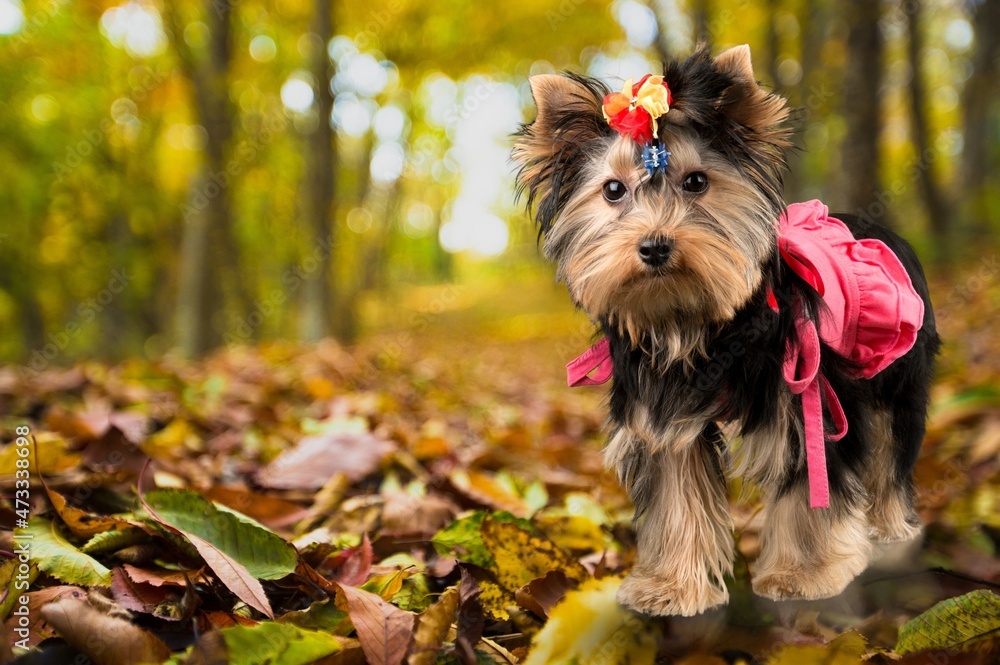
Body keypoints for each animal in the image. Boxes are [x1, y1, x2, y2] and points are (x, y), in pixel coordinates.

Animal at [512, 48, 940, 616]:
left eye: (696, 182)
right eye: (612, 190)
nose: (654, 245)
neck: (695, 324)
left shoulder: (805, 397)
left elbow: (810, 481)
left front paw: (801, 576)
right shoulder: (663, 413)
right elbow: (677, 492)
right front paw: (671, 586)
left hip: (900, 377)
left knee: (892, 452)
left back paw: (892, 533)